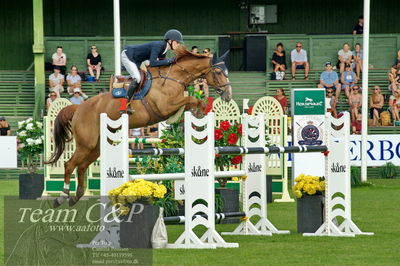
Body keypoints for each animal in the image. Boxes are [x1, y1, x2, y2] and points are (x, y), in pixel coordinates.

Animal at [46, 46, 233, 208]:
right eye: (218, 72)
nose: (228, 95)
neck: (174, 77)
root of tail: (78, 107)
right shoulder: (165, 107)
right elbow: (190, 99)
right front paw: (197, 113)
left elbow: (194, 102)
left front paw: (197, 114)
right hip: (86, 143)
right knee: (69, 165)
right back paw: (61, 197)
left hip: (96, 146)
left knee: (82, 166)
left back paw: (76, 196)